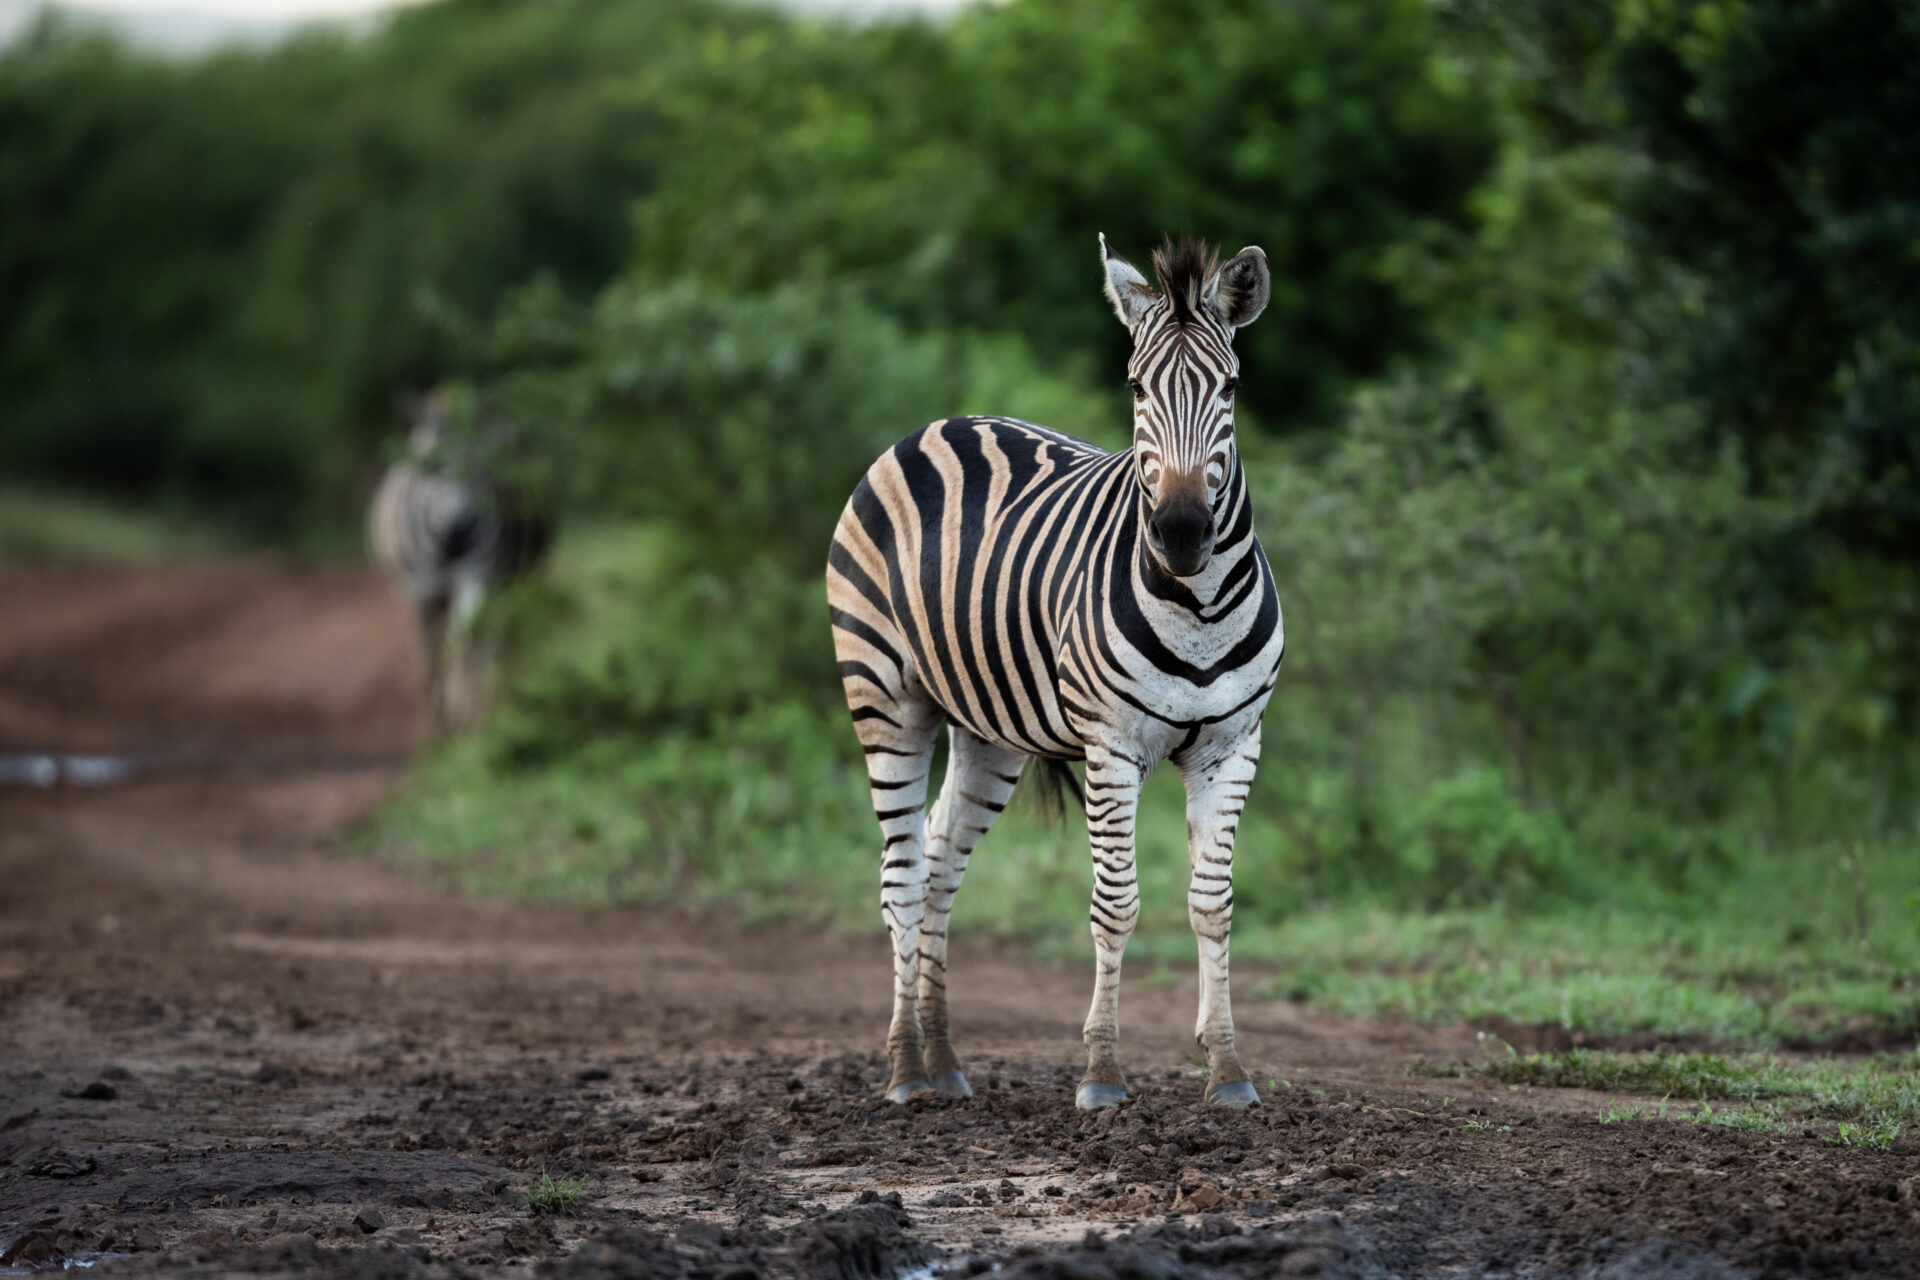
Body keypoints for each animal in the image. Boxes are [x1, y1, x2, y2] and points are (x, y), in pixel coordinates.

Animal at [368, 391, 552, 736]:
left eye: (482, 468)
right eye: (432, 467)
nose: (458, 534)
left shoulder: (477, 578)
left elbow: (465, 643)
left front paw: (469, 717)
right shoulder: (419, 590)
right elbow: (429, 654)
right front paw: (436, 726)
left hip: (521, 576)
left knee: (497, 641)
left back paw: (496, 702)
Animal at [833, 233, 1282, 1113]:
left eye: (1231, 386)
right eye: (1136, 385)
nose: (1183, 532)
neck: (1200, 604)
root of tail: (944, 422)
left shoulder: (1232, 746)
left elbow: (1212, 906)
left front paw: (1228, 1071)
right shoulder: (1113, 748)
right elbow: (1117, 907)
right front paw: (1102, 1074)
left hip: (987, 732)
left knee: (940, 865)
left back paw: (944, 1061)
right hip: (886, 697)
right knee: (901, 875)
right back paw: (904, 1071)